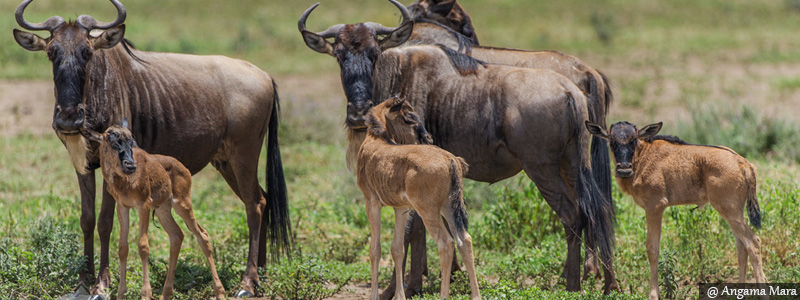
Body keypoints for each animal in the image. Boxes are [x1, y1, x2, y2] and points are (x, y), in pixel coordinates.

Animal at [80, 120, 225, 298]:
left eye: (131, 142)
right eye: (112, 140)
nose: (130, 165)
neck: (126, 181)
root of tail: (183, 168)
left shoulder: (143, 205)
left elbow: (143, 246)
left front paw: (145, 294)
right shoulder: (123, 207)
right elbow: (123, 247)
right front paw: (121, 294)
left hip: (182, 205)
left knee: (202, 236)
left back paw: (220, 292)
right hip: (163, 210)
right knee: (177, 235)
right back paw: (166, 293)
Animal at [358, 98, 482, 300]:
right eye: (408, 117)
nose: (428, 138)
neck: (377, 139)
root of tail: (450, 159)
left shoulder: (372, 202)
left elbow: (375, 249)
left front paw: (374, 296)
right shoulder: (401, 208)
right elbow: (398, 248)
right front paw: (399, 296)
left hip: (428, 211)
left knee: (446, 243)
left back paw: (443, 296)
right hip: (448, 207)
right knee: (464, 240)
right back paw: (476, 296)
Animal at [584, 120, 764, 300]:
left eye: (633, 140)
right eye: (612, 141)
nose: (624, 170)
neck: (642, 157)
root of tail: (744, 163)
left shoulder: (655, 207)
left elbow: (652, 249)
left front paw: (653, 294)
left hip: (730, 211)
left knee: (753, 242)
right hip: (733, 213)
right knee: (742, 247)